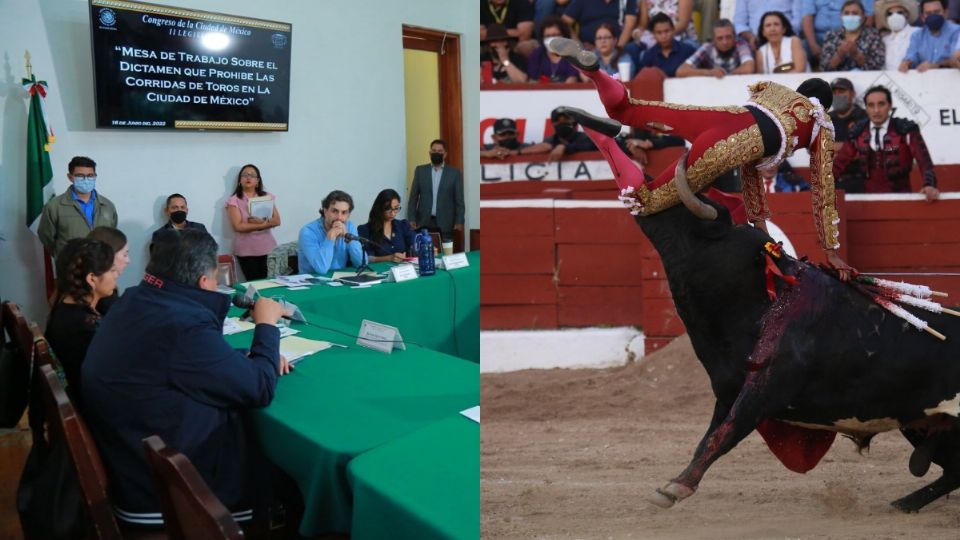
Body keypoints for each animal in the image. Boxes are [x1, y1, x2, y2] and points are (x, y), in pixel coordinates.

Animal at [640, 154, 956, 512]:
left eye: (683, 211)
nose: (645, 184)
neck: (763, 297)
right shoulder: (730, 389)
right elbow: (711, 435)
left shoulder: (763, 389)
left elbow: (725, 434)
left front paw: (675, 487)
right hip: (926, 421)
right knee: (954, 470)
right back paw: (904, 503)